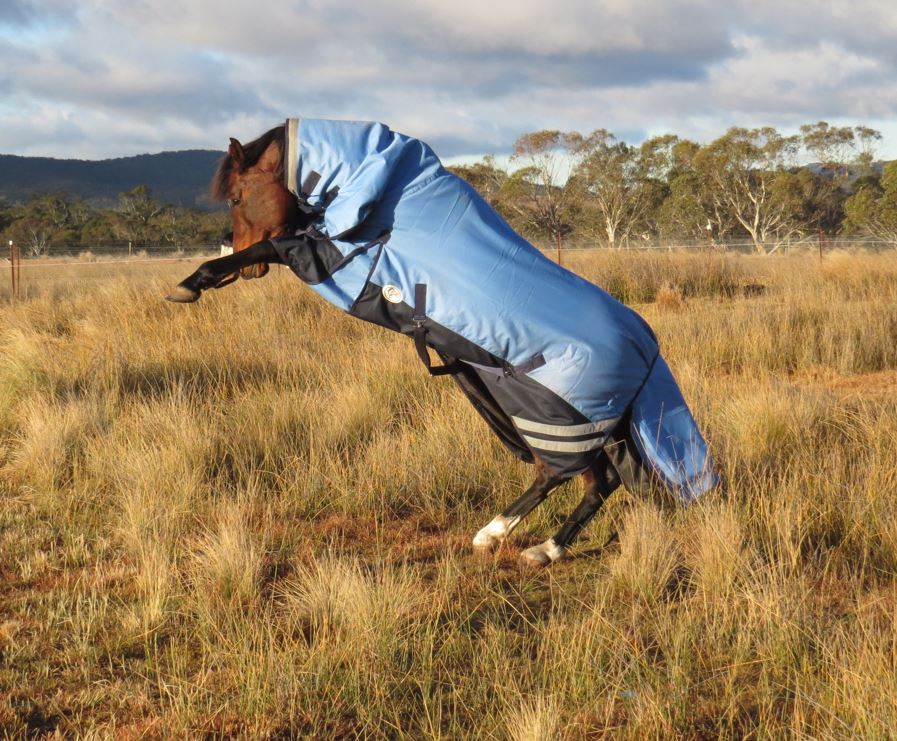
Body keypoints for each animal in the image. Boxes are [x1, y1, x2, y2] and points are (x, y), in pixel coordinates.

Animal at [167, 118, 717, 566]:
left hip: (551, 415)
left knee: (563, 474)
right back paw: (546, 548)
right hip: (593, 425)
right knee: (603, 483)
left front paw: (195, 281)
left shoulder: (332, 257)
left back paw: (494, 534)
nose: (244, 273)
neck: (387, 196)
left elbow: (274, 246)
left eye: (236, 198)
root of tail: (646, 346)